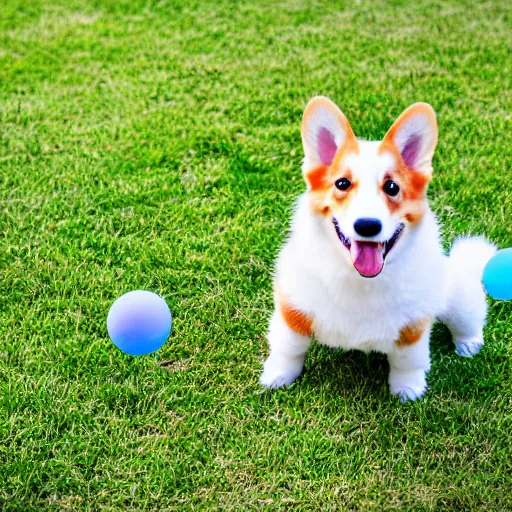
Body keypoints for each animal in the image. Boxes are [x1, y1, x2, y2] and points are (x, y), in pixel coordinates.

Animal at [260, 96, 496, 400]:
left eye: (392, 187)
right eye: (342, 183)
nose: (367, 226)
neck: (359, 280)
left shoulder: (413, 329)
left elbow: (408, 362)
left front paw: (407, 390)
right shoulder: (292, 310)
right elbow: (288, 348)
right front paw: (277, 377)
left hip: (459, 297)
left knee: (468, 318)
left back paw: (468, 344)